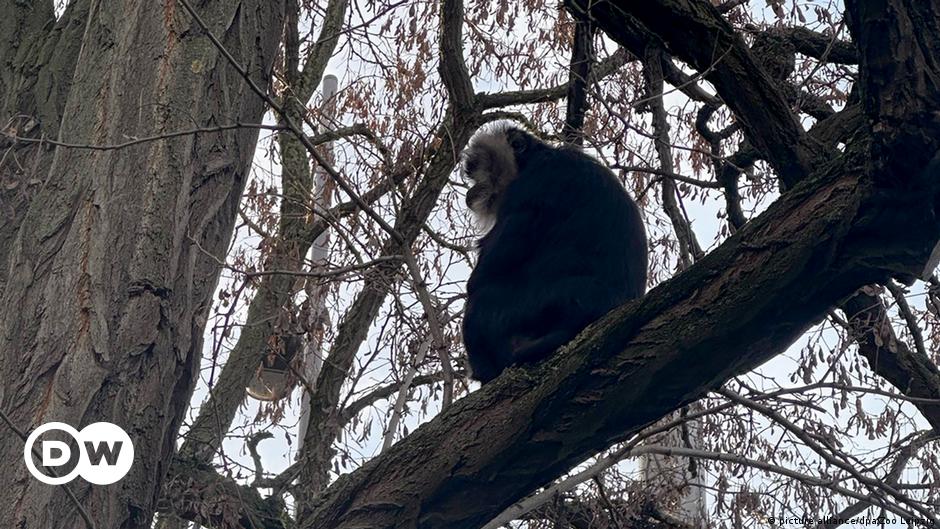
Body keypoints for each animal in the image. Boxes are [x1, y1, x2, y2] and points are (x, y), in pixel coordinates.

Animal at [461, 124, 648, 383]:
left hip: (542, 303)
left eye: (476, 168)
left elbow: (492, 265)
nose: (471, 190)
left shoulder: (533, 183)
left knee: (480, 305)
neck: (533, 160)